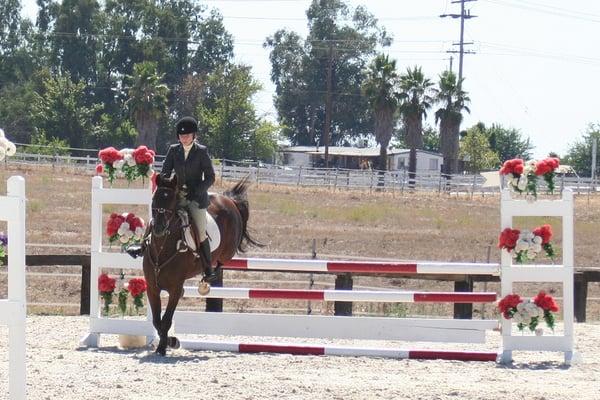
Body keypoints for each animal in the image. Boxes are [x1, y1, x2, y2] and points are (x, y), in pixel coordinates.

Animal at [144, 173, 262, 354]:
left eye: (171, 200)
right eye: (154, 199)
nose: (159, 228)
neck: (162, 247)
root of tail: (227, 199)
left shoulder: (175, 289)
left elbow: (166, 320)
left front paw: (165, 346)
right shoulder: (152, 288)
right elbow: (157, 322)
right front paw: (168, 342)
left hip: (227, 250)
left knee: (219, 260)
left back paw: (207, 276)